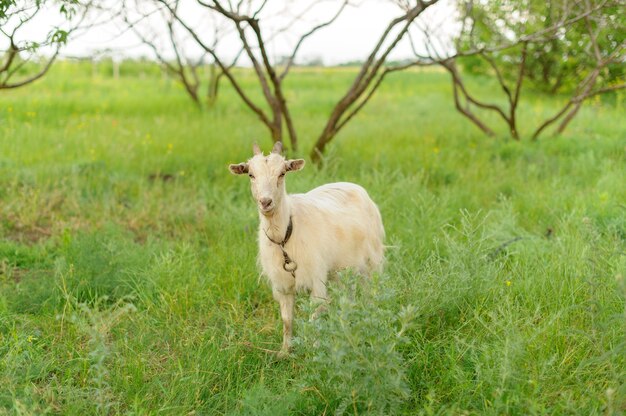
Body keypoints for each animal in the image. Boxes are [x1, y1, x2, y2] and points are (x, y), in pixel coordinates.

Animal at [229, 143, 386, 354]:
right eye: (251, 174)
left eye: (282, 173)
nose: (265, 202)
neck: (285, 235)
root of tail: (354, 185)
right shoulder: (283, 285)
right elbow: (287, 320)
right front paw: (284, 352)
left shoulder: (315, 278)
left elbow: (314, 316)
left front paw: (314, 350)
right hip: (343, 268)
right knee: (349, 295)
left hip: (371, 261)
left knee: (371, 293)